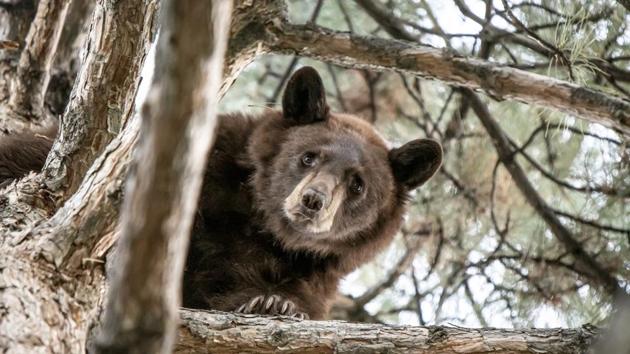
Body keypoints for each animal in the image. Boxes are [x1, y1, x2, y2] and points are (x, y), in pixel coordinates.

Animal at [0, 65, 444, 320]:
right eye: (309, 156)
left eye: (357, 184)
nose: (312, 201)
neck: (263, 228)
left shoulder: (315, 275)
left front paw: (274, 303)